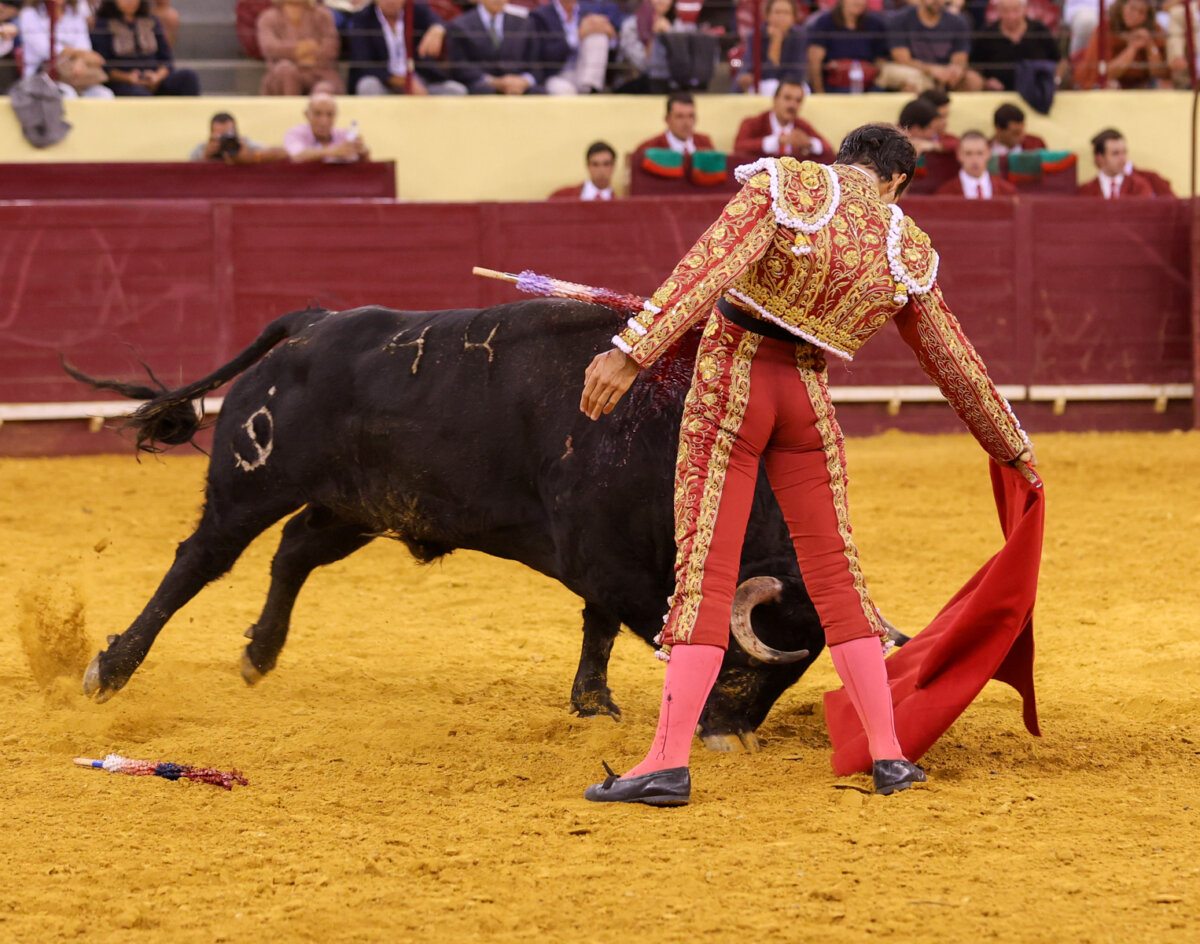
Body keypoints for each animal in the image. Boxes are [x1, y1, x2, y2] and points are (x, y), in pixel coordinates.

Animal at [69, 300, 859, 750]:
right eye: (760, 663)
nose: (729, 735)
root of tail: (311, 325)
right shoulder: (604, 557)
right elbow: (635, 620)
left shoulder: (604, 558)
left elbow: (598, 623)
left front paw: (592, 703)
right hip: (252, 482)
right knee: (199, 559)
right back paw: (112, 667)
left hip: (359, 506)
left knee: (292, 552)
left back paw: (259, 655)